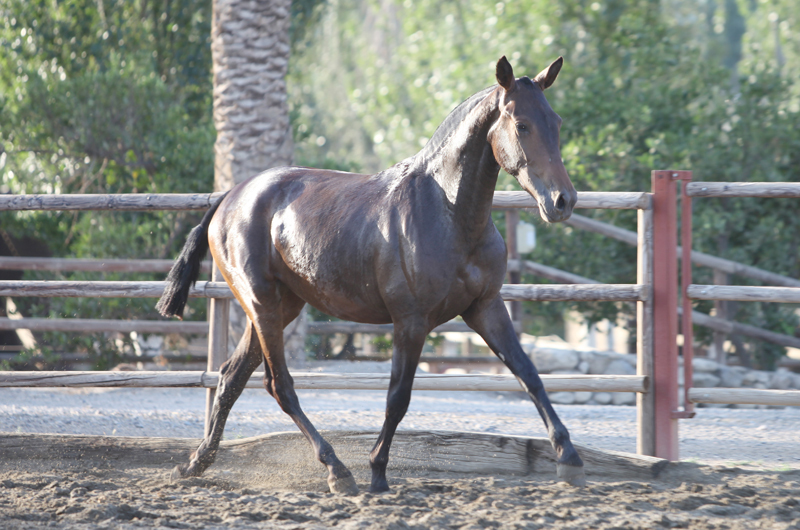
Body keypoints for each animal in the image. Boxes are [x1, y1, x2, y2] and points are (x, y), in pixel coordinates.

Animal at [157, 56, 584, 494]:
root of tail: (230, 197)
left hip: (282, 306)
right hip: (261, 303)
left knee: (231, 377)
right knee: (279, 386)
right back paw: (337, 471)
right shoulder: (411, 321)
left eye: (556, 121)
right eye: (522, 125)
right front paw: (377, 471)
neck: (447, 213)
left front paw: (569, 458)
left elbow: (529, 374)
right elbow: (398, 397)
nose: (562, 201)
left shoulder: (486, 308)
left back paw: (195, 464)